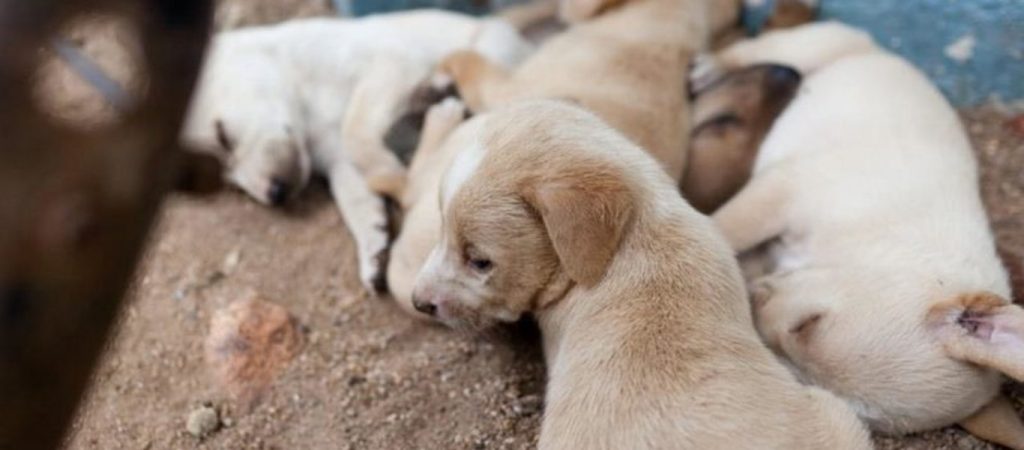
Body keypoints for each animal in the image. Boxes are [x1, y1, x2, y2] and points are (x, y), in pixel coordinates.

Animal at [181, 10, 544, 295]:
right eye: (226, 179)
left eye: (223, 136)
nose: (276, 196)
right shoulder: (337, 159)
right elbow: (354, 197)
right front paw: (374, 251)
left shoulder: (388, 65)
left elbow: (354, 129)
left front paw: (391, 167)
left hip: (492, 46)